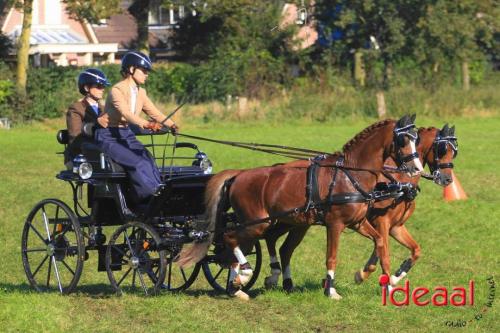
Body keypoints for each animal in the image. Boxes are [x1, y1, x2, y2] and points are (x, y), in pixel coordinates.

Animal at [178, 114, 424, 298]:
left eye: (416, 139)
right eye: (403, 140)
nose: (417, 169)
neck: (351, 174)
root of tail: (238, 175)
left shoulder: (358, 222)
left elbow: (380, 243)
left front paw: (381, 281)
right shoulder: (335, 224)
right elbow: (332, 255)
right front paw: (331, 291)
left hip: (277, 223)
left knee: (252, 246)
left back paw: (238, 286)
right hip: (255, 223)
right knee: (231, 239)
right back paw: (245, 275)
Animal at [264, 124, 458, 290]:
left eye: (454, 151)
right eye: (442, 149)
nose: (447, 179)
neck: (398, 181)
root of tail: (278, 168)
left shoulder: (395, 227)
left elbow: (415, 250)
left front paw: (393, 277)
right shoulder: (381, 222)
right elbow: (383, 253)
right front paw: (370, 277)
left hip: (298, 222)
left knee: (282, 246)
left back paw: (281, 281)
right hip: (289, 220)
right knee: (273, 238)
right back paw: (274, 277)